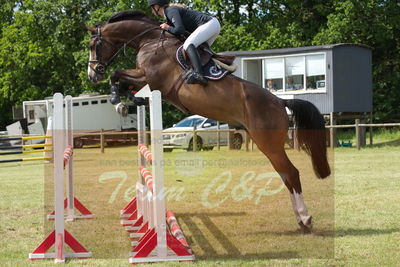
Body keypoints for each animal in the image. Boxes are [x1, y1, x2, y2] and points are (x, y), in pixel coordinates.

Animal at [86, 10, 330, 232]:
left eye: (94, 45)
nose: (92, 75)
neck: (150, 41)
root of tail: (279, 101)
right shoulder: (145, 80)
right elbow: (121, 81)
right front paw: (126, 101)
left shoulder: (150, 78)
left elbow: (116, 75)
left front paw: (119, 101)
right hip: (268, 145)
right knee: (285, 175)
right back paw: (300, 219)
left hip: (269, 143)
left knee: (291, 173)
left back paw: (306, 219)